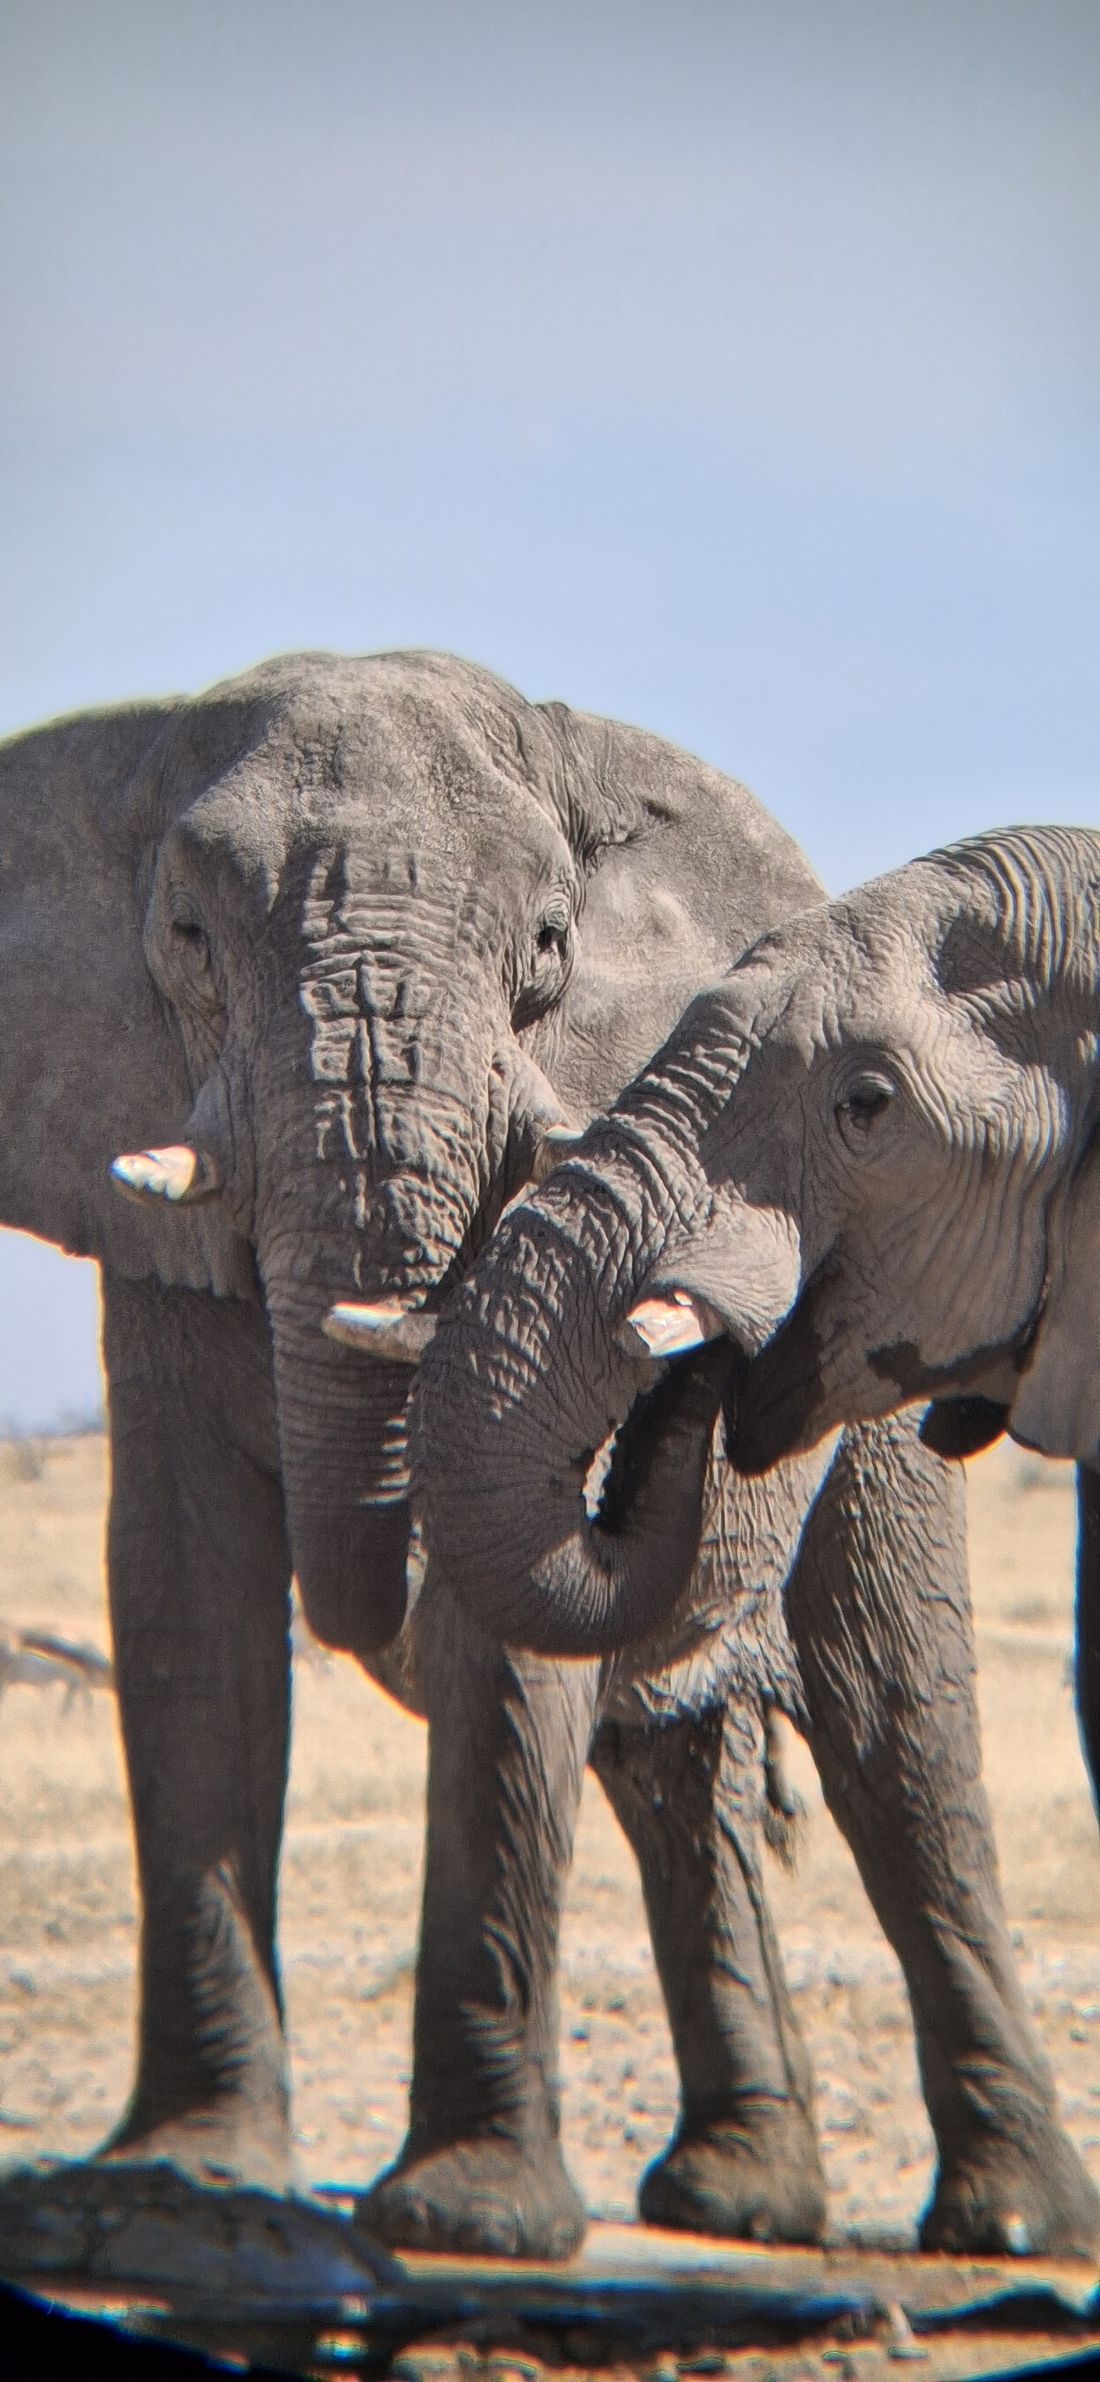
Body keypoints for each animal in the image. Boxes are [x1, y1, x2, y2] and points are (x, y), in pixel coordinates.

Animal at [2, 663, 1094, 2261]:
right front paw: (179, 2177)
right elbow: (183, 1603)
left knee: (895, 1728)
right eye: (190, 939)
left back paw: (1006, 2227)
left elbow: (502, 1652)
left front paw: (466, 2222)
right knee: (675, 1771)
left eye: (548, 946)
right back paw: (739, 2198)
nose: (697, 1377)